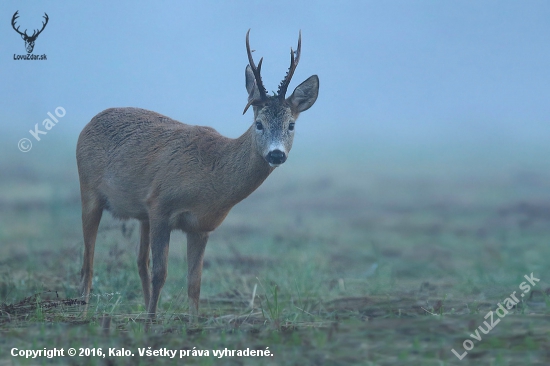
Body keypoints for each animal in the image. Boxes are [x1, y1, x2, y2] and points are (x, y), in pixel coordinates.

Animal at [77, 29, 320, 320]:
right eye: (259, 123)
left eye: (291, 125)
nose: (276, 154)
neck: (211, 176)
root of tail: (89, 123)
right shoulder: (161, 206)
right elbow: (162, 274)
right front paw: (150, 323)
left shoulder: (201, 226)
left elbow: (195, 283)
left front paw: (191, 323)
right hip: (89, 191)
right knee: (88, 260)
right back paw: (85, 312)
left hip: (141, 214)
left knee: (139, 261)